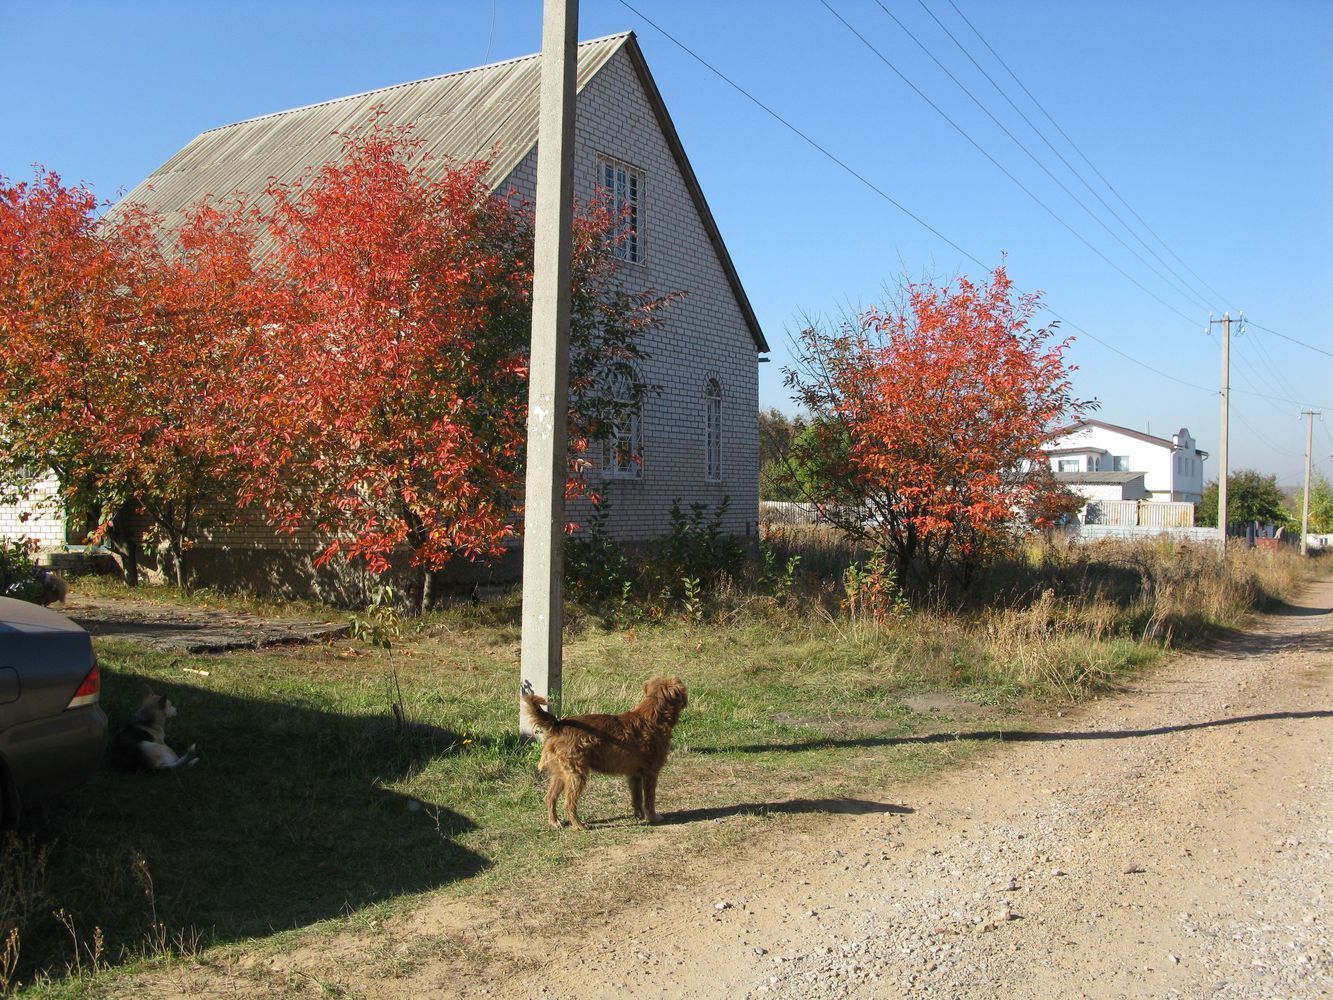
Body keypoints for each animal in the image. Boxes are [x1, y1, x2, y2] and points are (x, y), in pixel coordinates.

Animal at [519, 677, 687, 832]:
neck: (653, 716)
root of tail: (558, 725)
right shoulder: (650, 773)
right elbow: (650, 799)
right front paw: (653, 817)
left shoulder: (634, 775)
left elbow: (637, 798)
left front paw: (639, 815)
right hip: (576, 775)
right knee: (569, 803)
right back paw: (579, 825)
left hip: (561, 775)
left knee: (549, 798)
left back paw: (555, 822)